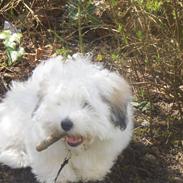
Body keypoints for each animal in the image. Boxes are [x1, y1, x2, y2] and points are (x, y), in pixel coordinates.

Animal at [0, 54, 133, 183]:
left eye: (86, 104)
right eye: (59, 103)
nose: (66, 124)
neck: (74, 149)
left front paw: (91, 173)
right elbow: (52, 164)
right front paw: (62, 178)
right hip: (15, 120)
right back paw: (18, 157)